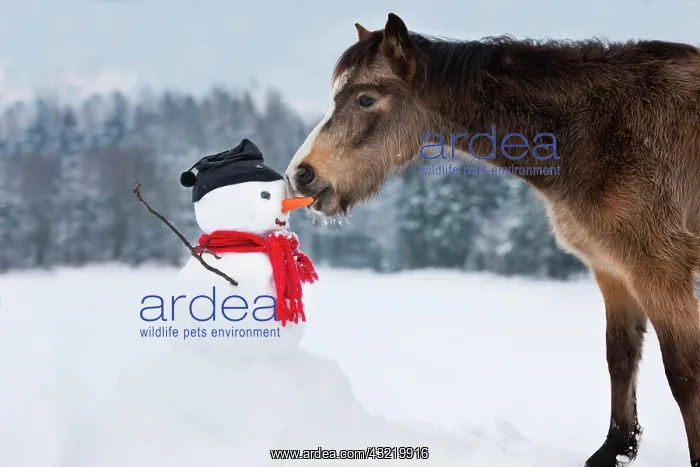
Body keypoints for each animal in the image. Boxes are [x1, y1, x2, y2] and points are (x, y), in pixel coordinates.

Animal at [284, 12, 700, 467]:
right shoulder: (611, 270)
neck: (599, 134)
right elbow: (620, 357)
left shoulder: (660, 272)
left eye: (364, 99)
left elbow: (684, 374)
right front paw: (616, 449)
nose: (300, 174)